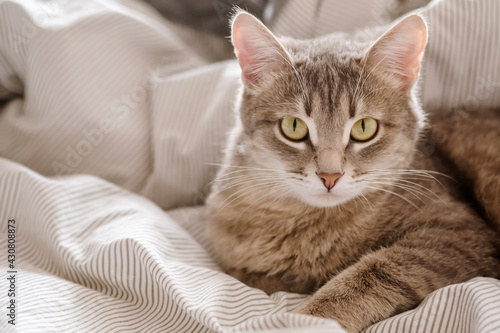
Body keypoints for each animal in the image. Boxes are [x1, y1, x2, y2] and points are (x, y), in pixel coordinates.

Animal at [204, 9, 500, 330]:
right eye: (293, 127)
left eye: (364, 127)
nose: (329, 176)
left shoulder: (457, 234)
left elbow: (372, 272)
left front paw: (306, 319)